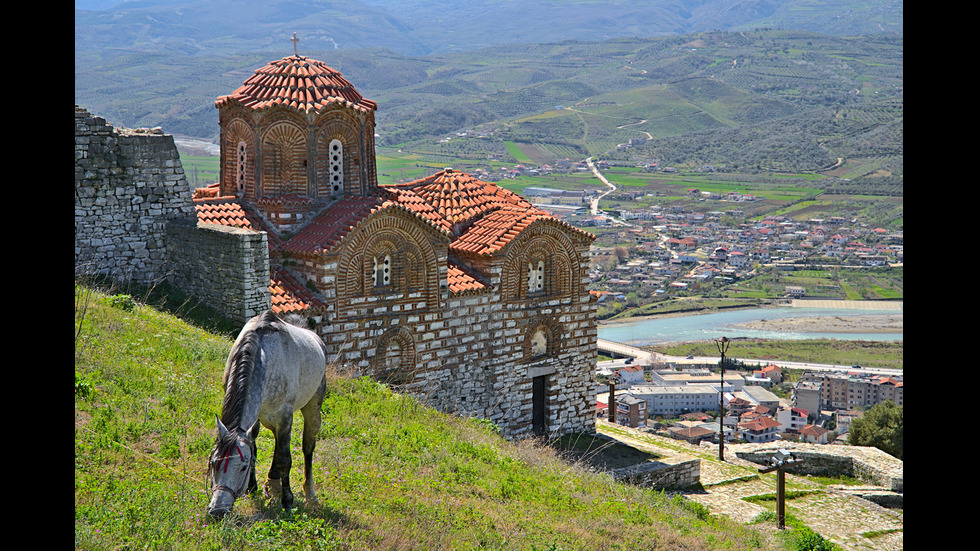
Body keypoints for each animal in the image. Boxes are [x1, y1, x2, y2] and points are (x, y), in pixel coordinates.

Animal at [207, 312, 330, 520]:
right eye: (215, 463)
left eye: (242, 467)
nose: (218, 511)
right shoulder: (257, 417)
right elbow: (254, 447)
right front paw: (252, 487)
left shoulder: (285, 416)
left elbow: (285, 459)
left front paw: (287, 501)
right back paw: (272, 479)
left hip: (312, 406)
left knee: (307, 447)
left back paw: (309, 492)